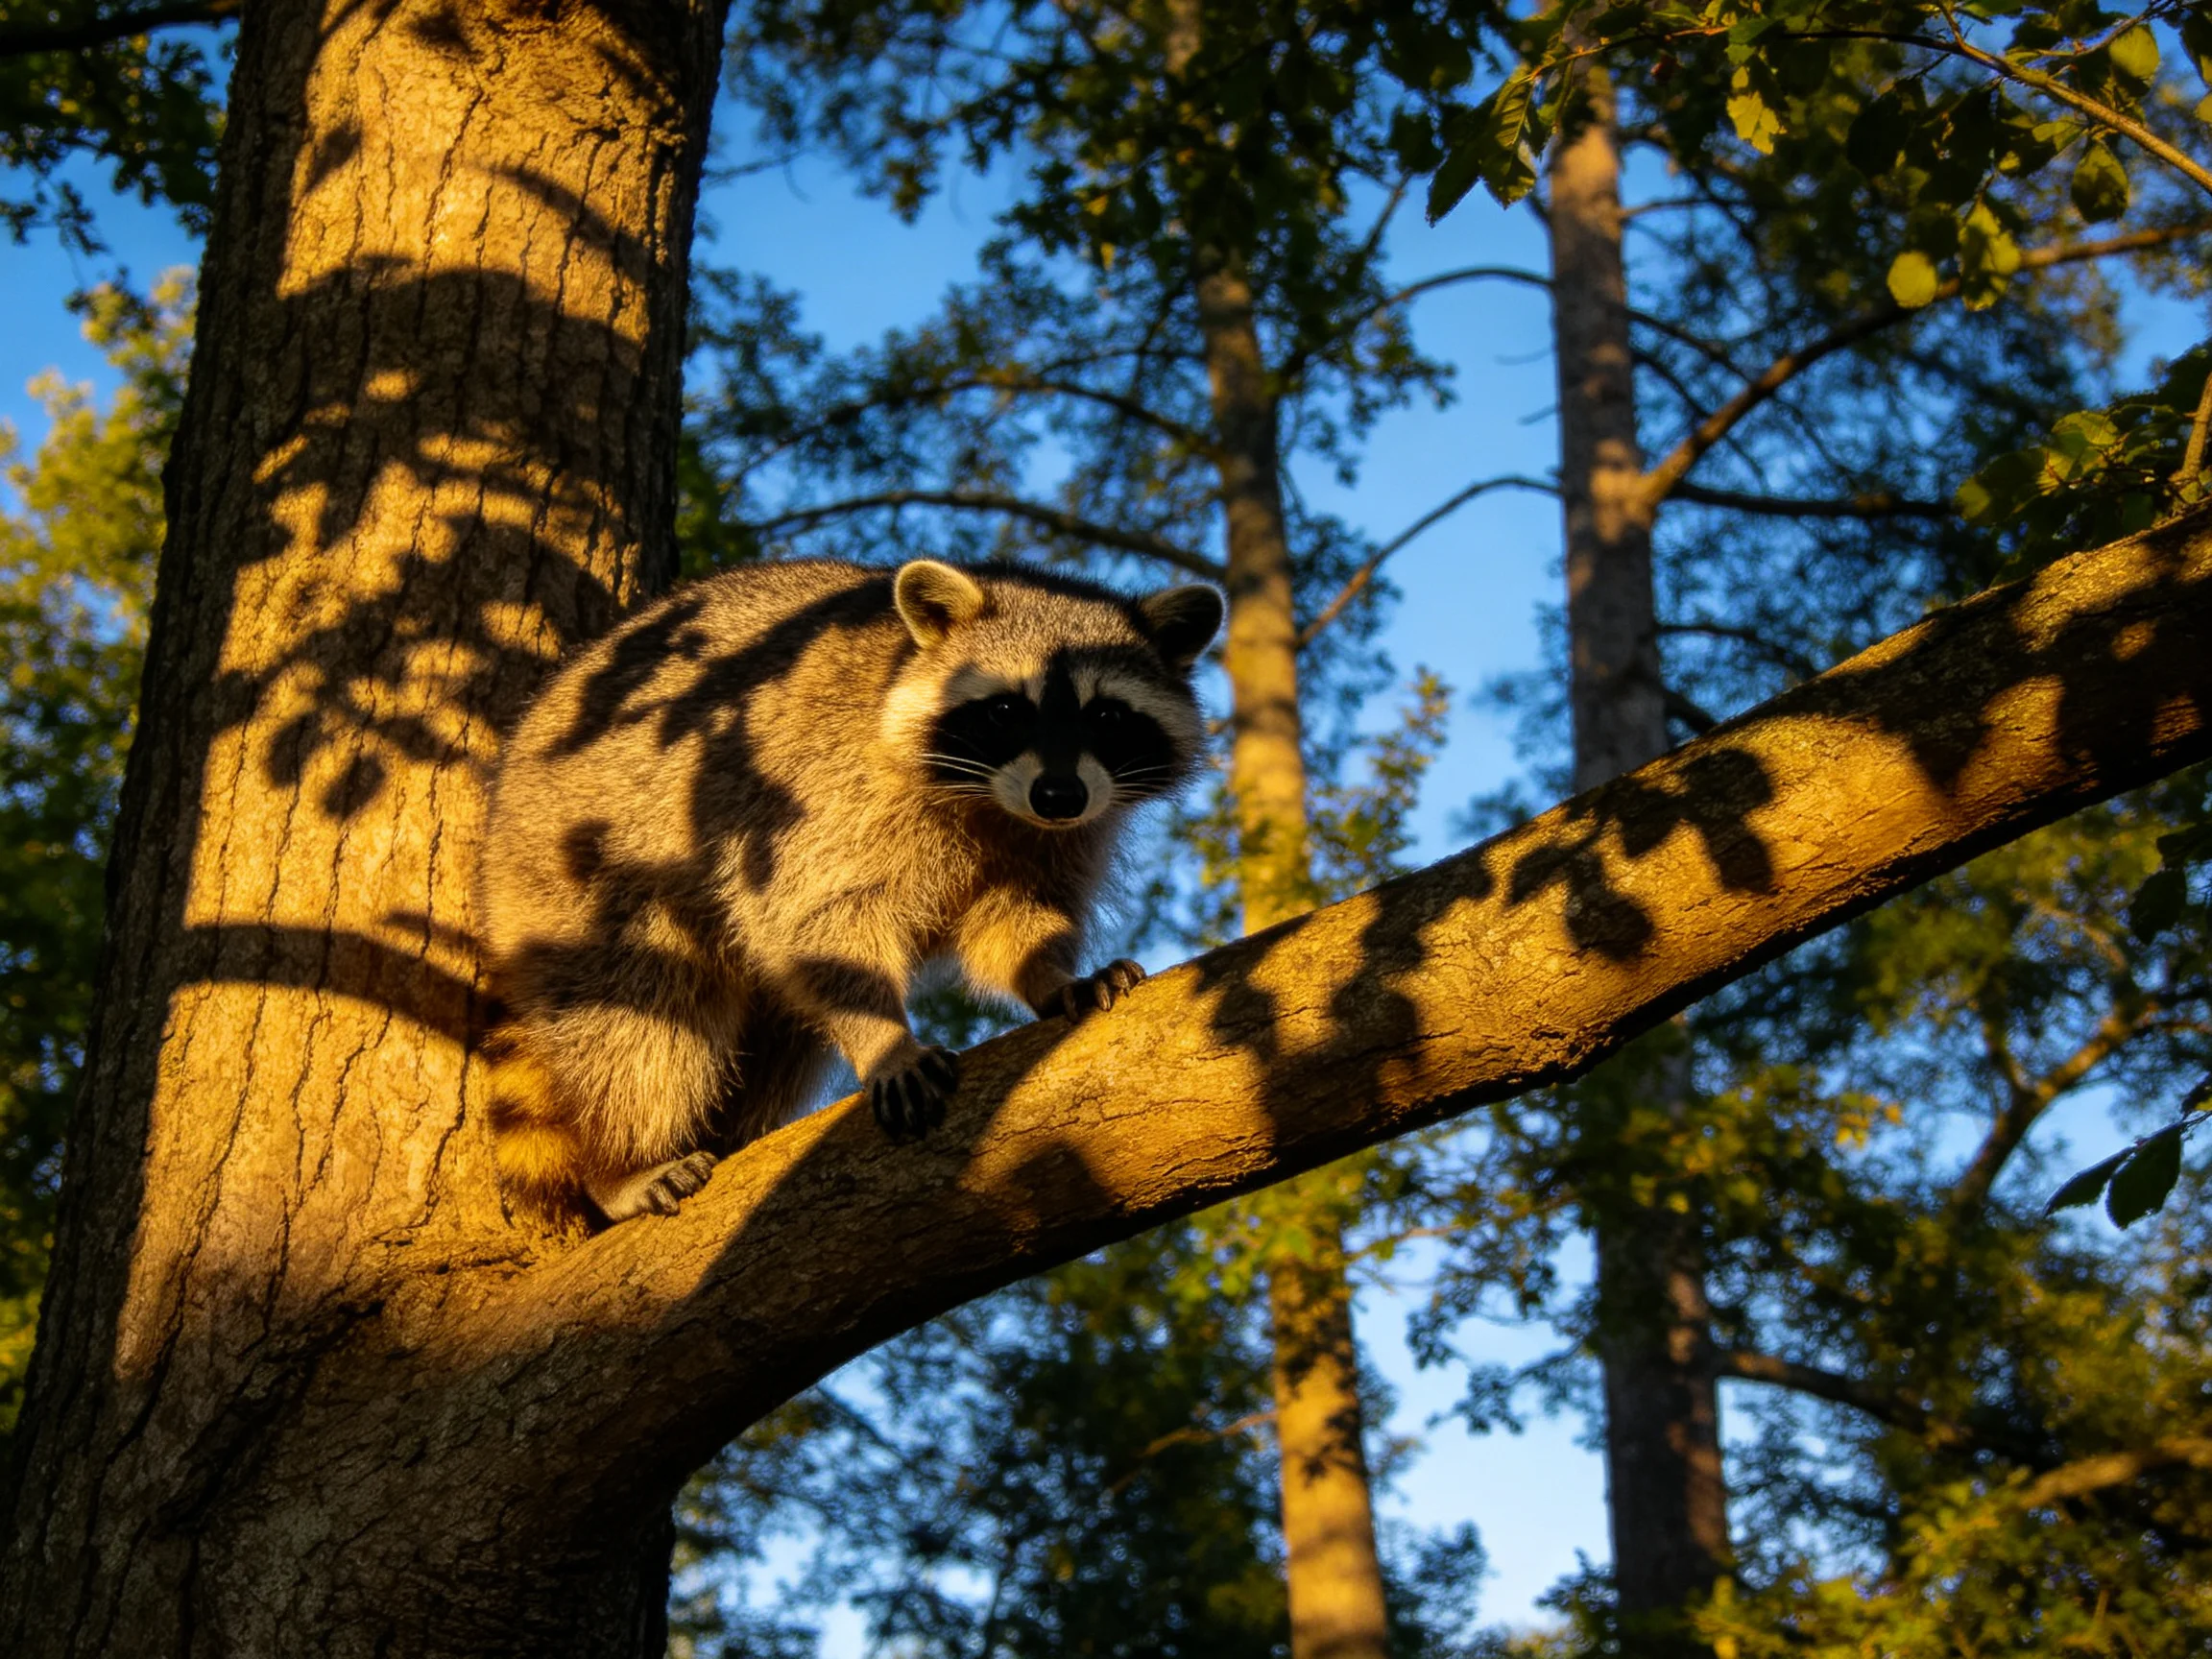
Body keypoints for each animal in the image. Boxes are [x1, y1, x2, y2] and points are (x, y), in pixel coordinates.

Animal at [476, 557, 1223, 1223]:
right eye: (1007, 709)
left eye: (1107, 717)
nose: (1059, 795)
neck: (993, 801)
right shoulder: (815, 795)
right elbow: (823, 921)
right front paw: (884, 1037)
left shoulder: (1060, 836)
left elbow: (1020, 917)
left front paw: (1049, 974)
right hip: (576, 874)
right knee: (637, 1014)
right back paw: (620, 1163)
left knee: (767, 1047)